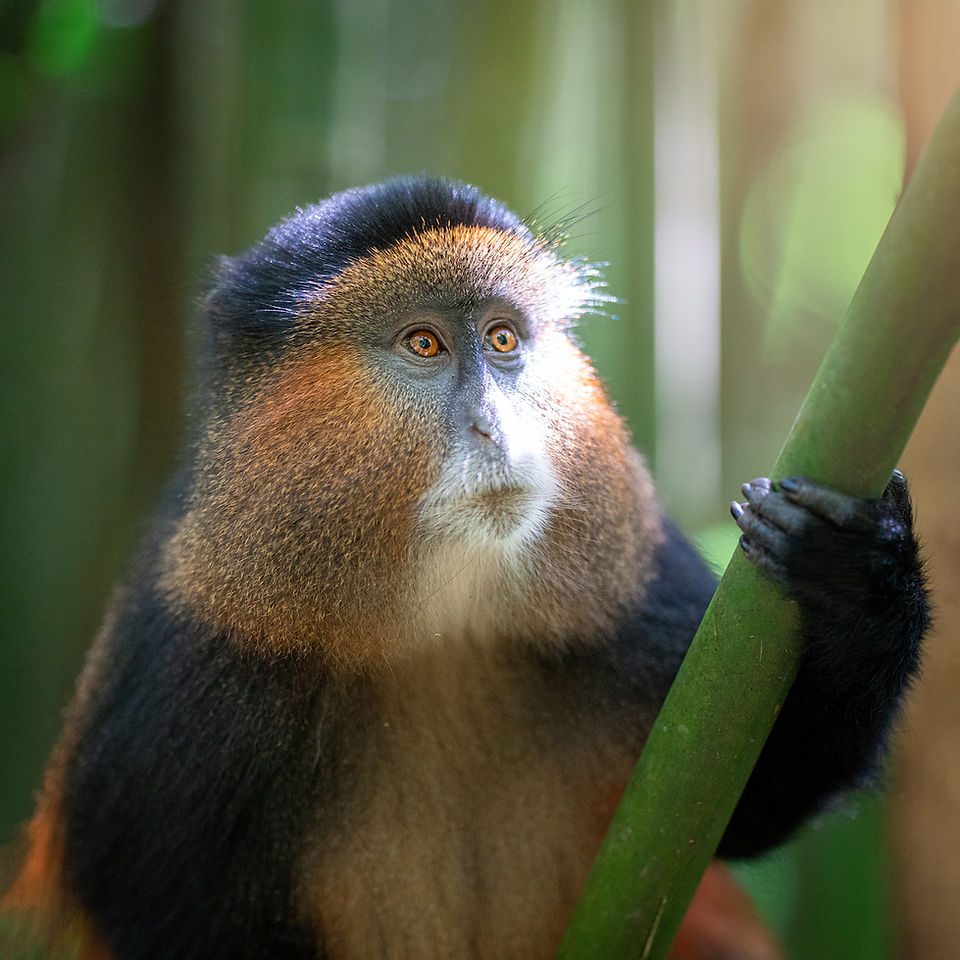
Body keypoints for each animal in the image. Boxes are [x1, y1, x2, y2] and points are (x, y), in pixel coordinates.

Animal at [1, 176, 928, 960]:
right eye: (424, 344)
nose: (495, 425)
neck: (439, 630)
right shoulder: (180, 678)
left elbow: (737, 801)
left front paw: (858, 576)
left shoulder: (637, 586)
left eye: (503, 339)